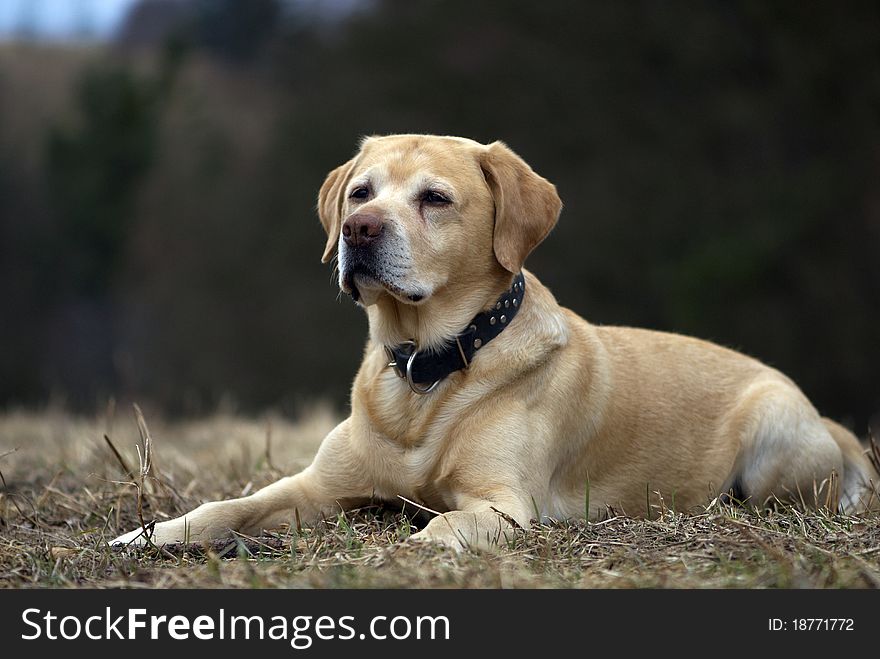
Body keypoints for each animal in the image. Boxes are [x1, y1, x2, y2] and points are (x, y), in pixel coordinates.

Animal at [113, 134, 876, 552]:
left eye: (435, 199)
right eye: (360, 192)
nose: (358, 229)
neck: (424, 368)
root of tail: (819, 412)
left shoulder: (503, 503)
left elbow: (442, 527)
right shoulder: (317, 484)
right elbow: (226, 506)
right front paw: (148, 535)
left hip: (772, 434)